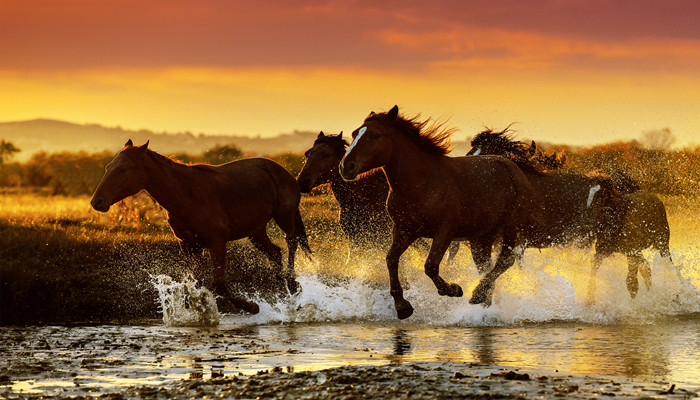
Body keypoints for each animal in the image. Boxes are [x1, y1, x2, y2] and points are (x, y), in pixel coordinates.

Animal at [90, 140, 311, 314]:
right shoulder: (189, 245)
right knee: (275, 253)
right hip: (255, 231)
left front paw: (252, 307)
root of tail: (285, 173)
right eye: (108, 167)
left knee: (291, 242)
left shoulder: (217, 242)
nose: (97, 202)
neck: (186, 195)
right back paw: (285, 295)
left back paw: (293, 286)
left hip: (284, 216)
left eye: (123, 169)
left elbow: (219, 285)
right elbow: (196, 285)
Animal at [339, 106, 536, 319]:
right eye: (354, 133)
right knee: (486, 266)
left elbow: (430, 265)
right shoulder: (404, 230)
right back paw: (484, 301)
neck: (421, 184)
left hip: (511, 228)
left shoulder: (444, 232)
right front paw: (402, 307)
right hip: (481, 237)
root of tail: (515, 170)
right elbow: (391, 259)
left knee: (505, 261)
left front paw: (453, 289)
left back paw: (477, 294)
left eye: (375, 135)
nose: (345, 167)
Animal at [467, 128, 672, 302]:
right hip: (615, 244)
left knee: (640, 265)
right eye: (470, 153)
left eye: (485, 155)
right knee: (641, 266)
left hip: (615, 242)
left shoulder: (515, 239)